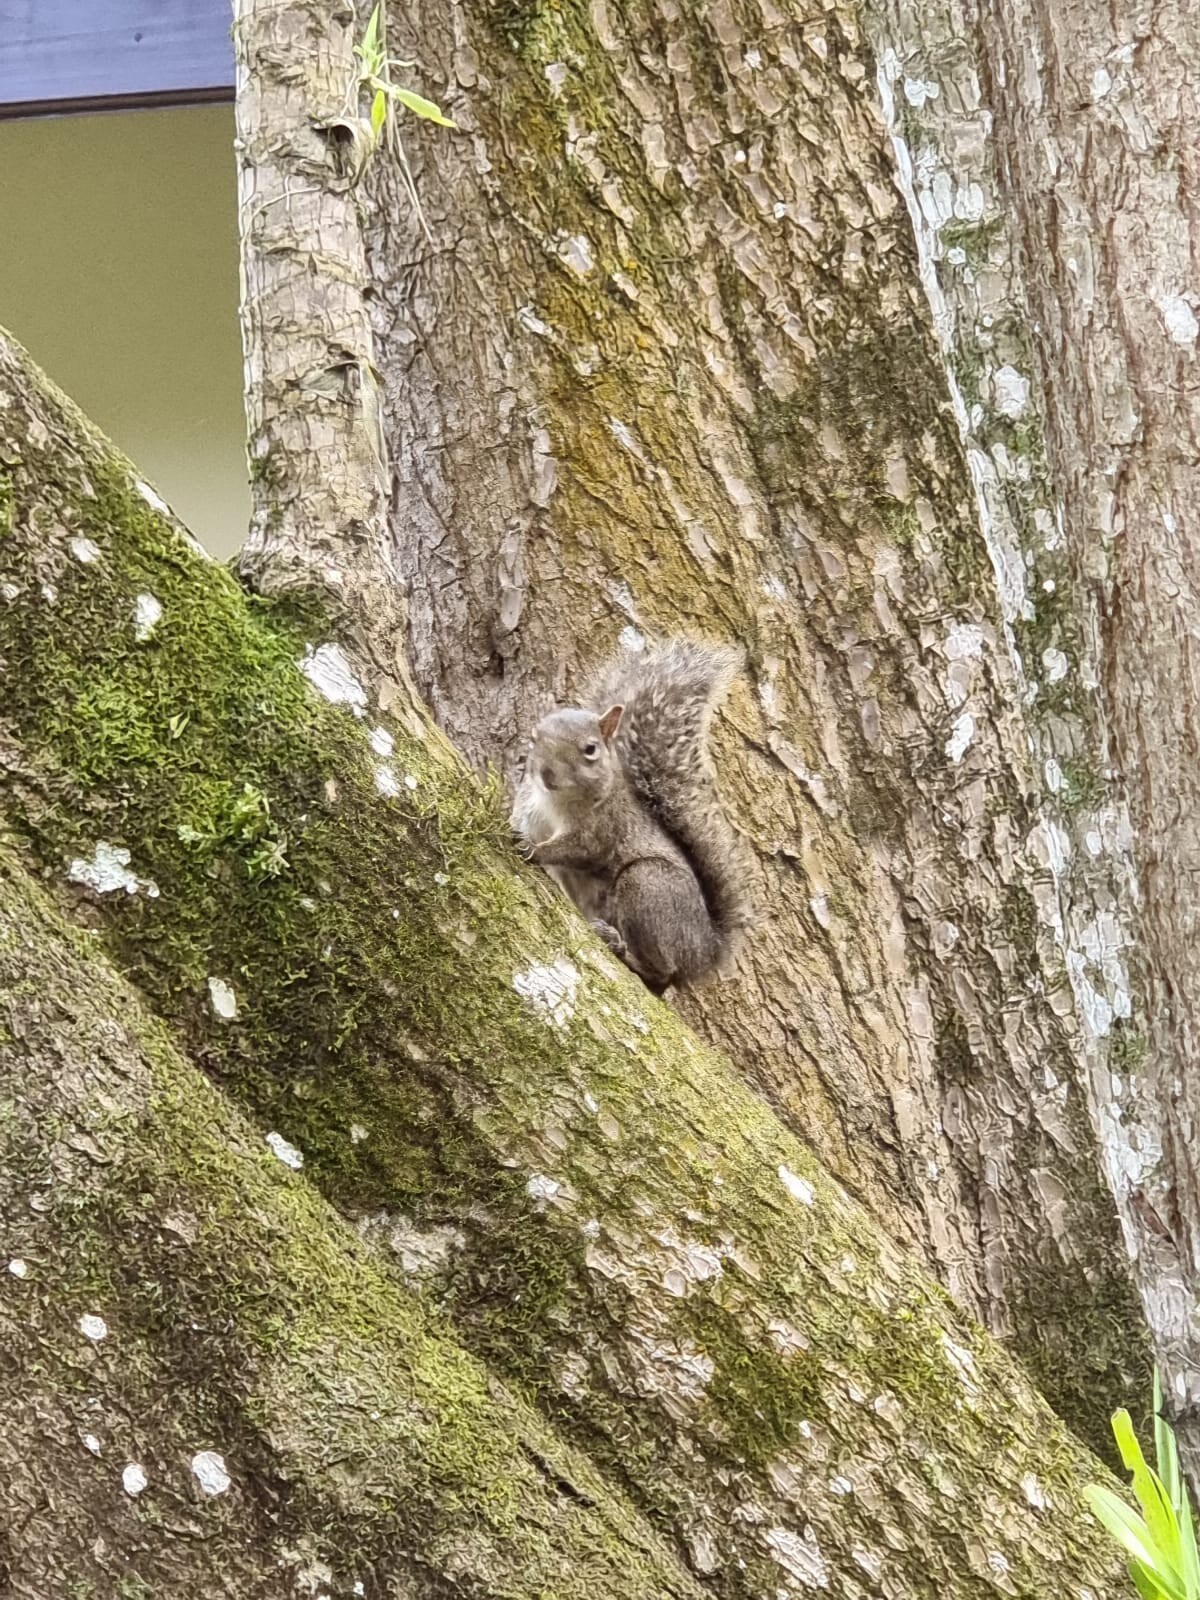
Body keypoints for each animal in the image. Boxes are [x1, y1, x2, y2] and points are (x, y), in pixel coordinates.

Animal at [512, 633, 755, 985]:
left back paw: (619, 947)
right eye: (534, 738)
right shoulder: (529, 809)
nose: (546, 774)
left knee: (661, 975)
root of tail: (705, 951)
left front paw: (535, 849)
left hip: (647, 884)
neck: (554, 803)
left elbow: (579, 849)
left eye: (590, 749)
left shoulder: (603, 828)